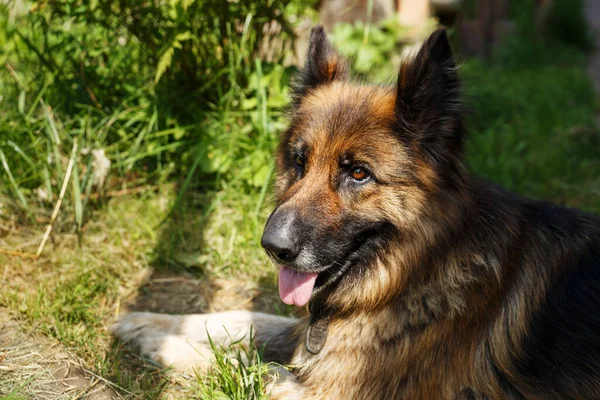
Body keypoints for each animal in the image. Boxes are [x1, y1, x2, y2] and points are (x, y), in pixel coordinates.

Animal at [112, 28, 600, 400]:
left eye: (359, 173)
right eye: (298, 162)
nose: (273, 247)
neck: (414, 270)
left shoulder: (329, 389)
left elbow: (241, 363)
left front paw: (165, 348)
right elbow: (244, 320)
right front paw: (152, 324)